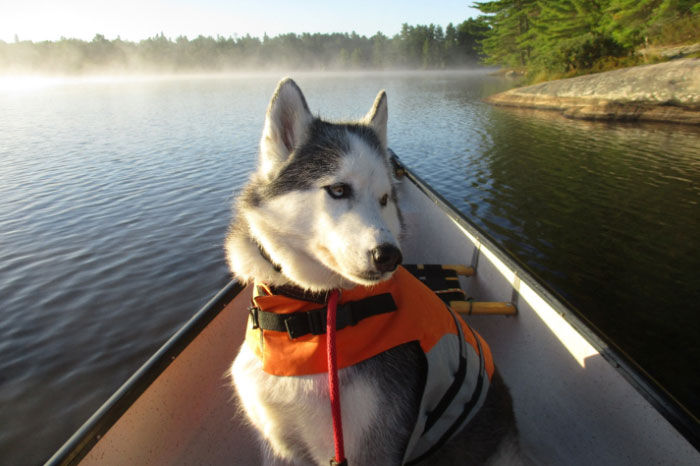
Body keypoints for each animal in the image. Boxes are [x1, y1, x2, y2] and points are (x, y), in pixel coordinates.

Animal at [227, 78, 524, 464]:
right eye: (338, 189)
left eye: (384, 199)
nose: (390, 256)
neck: (309, 311)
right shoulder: (281, 446)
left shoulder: (370, 447)